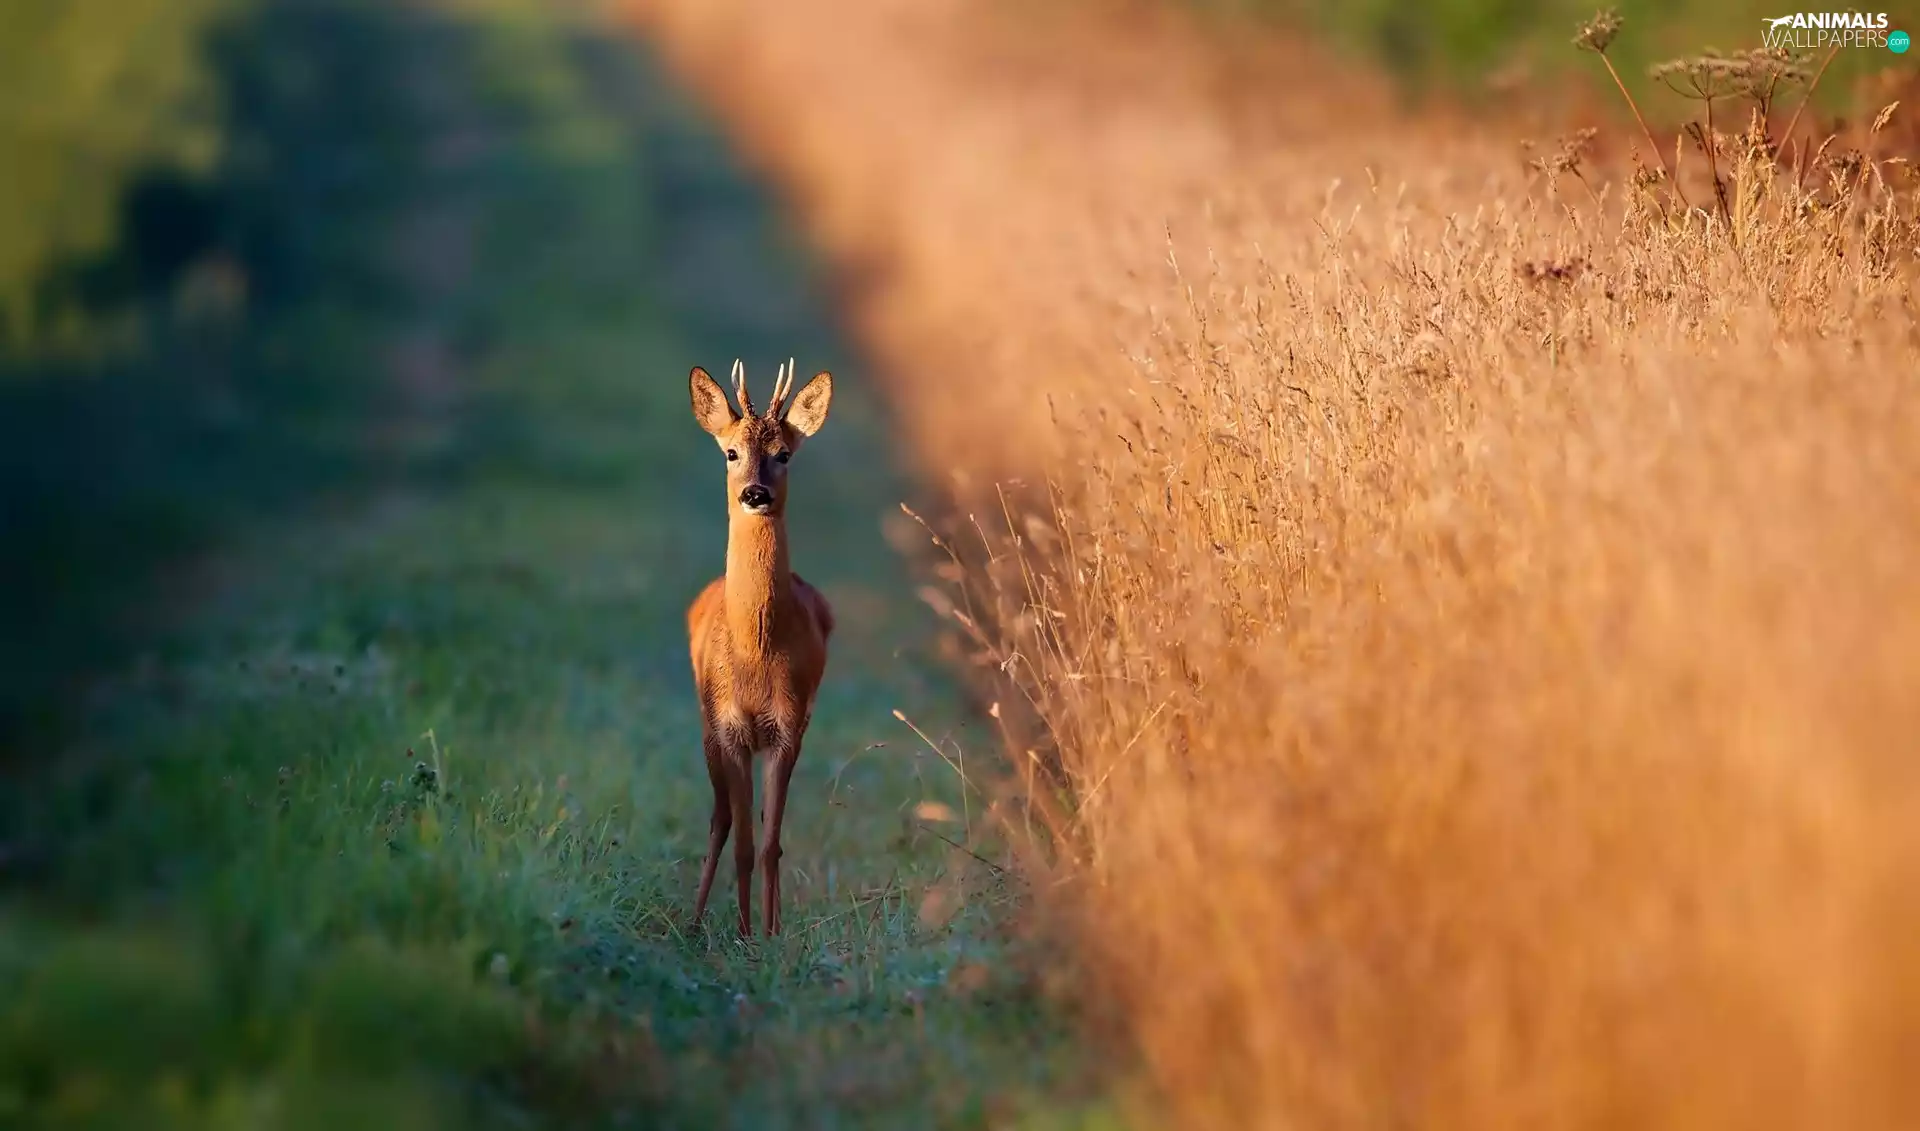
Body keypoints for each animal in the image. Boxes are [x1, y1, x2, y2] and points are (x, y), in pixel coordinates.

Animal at [685, 358, 835, 938]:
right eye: (731, 451)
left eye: (784, 453)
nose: (754, 493)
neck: (755, 653)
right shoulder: (730, 727)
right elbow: (745, 844)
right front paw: (744, 936)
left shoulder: (787, 728)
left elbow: (771, 845)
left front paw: (769, 936)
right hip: (707, 728)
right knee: (721, 818)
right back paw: (694, 923)